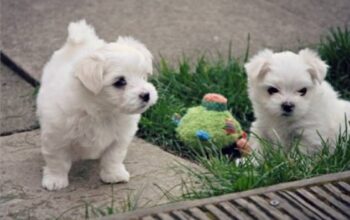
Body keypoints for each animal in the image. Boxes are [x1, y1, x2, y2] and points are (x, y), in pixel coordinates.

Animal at [36, 19, 157, 190]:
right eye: (120, 82)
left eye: (143, 76)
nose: (146, 95)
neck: (101, 111)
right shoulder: (56, 137)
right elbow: (57, 160)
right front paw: (55, 179)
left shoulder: (120, 137)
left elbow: (113, 157)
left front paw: (114, 175)